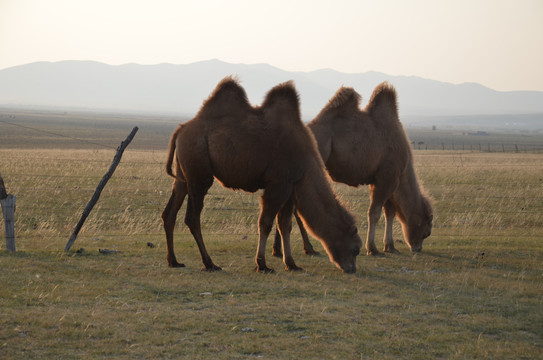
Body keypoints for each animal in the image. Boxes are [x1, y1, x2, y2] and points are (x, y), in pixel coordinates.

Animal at [164, 76, 364, 272]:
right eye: (355, 249)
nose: (351, 269)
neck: (306, 160)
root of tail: (180, 130)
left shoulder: (290, 186)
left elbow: (285, 225)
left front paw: (291, 263)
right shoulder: (278, 183)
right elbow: (266, 223)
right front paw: (262, 264)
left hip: (183, 175)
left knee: (170, 212)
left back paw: (174, 260)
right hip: (199, 173)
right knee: (192, 217)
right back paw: (209, 263)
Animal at [272, 81, 434, 256]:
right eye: (427, 231)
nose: (417, 248)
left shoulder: (384, 180)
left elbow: (389, 212)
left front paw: (389, 246)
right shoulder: (387, 178)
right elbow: (375, 213)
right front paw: (373, 248)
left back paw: (279, 250)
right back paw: (307, 248)